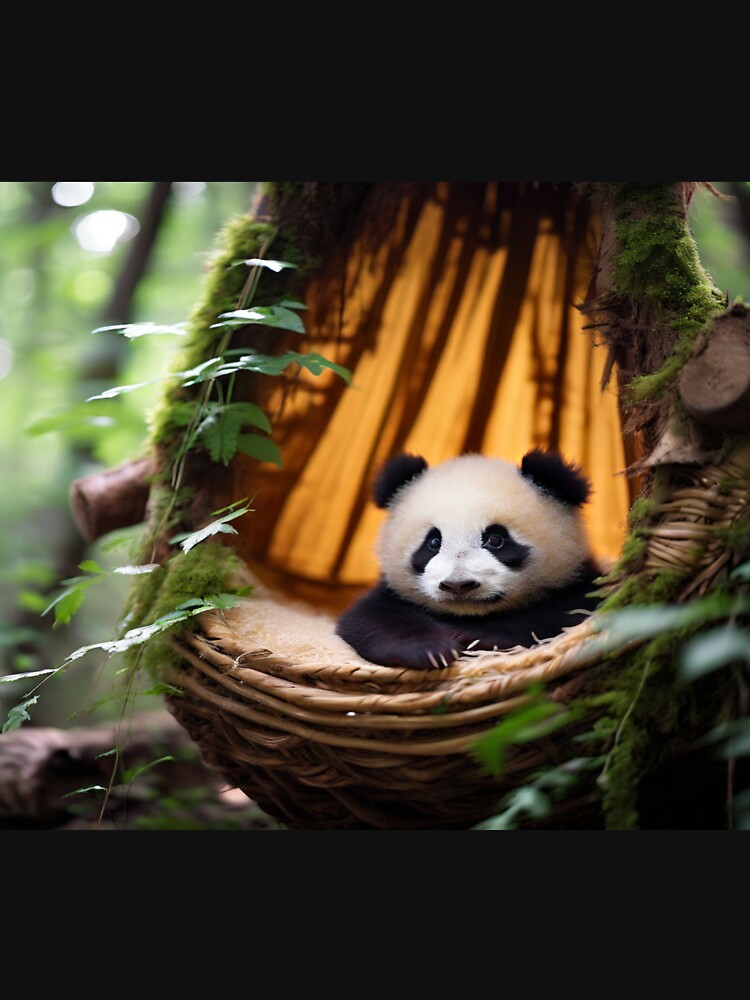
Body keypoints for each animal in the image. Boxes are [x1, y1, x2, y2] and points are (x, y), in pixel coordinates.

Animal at [335, 448, 603, 670]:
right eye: (433, 542)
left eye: (496, 539)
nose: (458, 585)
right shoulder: (390, 593)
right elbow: (371, 619)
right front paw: (430, 650)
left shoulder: (577, 585)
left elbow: (558, 616)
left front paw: (466, 636)